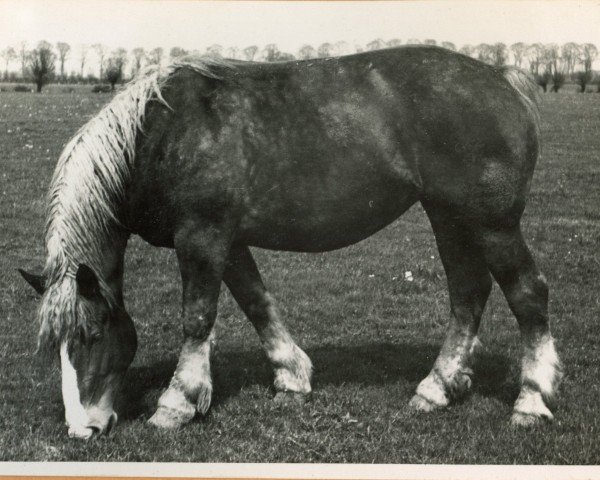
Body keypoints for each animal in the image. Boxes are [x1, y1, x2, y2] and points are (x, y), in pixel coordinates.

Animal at [19, 46, 564, 438]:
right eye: (55, 349)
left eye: (92, 336)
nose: (82, 430)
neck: (160, 135)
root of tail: (501, 79)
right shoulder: (228, 242)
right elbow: (257, 303)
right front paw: (291, 376)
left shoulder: (201, 237)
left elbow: (197, 317)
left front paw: (177, 403)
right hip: (450, 219)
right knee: (468, 296)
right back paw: (438, 388)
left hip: (491, 224)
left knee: (527, 294)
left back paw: (532, 399)